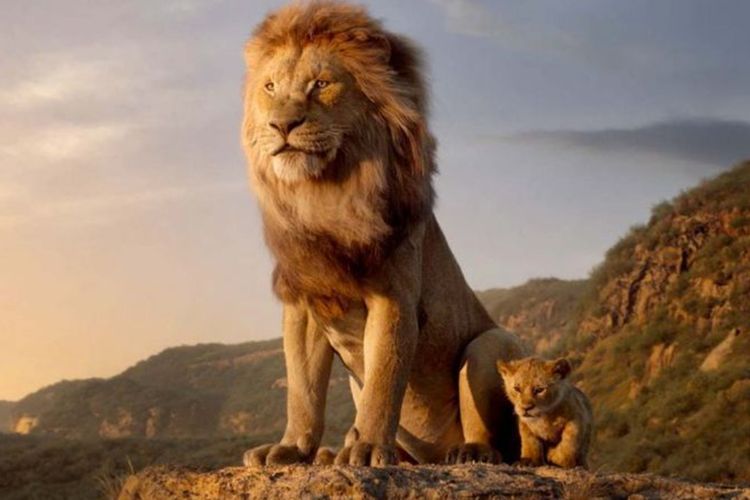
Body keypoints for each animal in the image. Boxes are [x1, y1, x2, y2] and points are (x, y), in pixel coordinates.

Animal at [240, 1, 528, 466]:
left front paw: (369, 447)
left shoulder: (393, 296)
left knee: (495, 438)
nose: (281, 125)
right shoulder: (304, 303)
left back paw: (468, 452)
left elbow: (383, 379)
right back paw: (332, 453)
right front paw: (292, 448)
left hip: (490, 343)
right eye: (270, 86)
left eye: (321, 84)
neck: (325, 194)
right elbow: (302, 390)